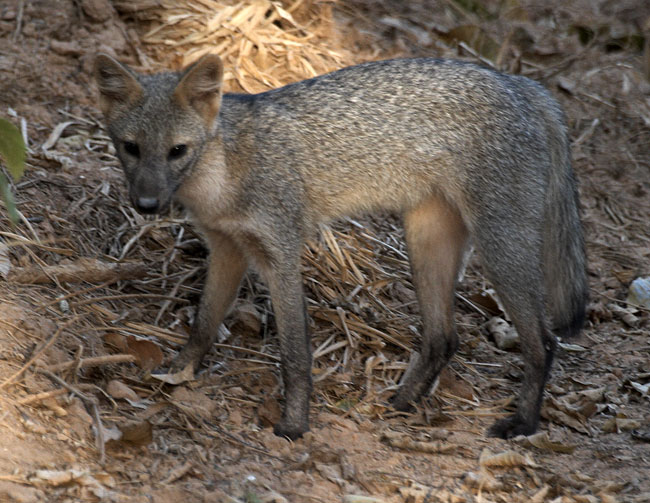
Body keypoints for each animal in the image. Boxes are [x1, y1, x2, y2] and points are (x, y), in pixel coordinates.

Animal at [93, 53, 584, 442]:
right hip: (426, 248)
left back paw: (523, 423)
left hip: (500, 253)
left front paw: (294, 425)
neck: (224, 176)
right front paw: (176, 373)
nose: (146, 205)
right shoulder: (227, 250)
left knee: (545, 342)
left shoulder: (281, 255)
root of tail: (519, 82)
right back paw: (400, 405)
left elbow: (294, 355)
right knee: (443, 338)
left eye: (178, 151)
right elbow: (203, 325)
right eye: (130, 148)